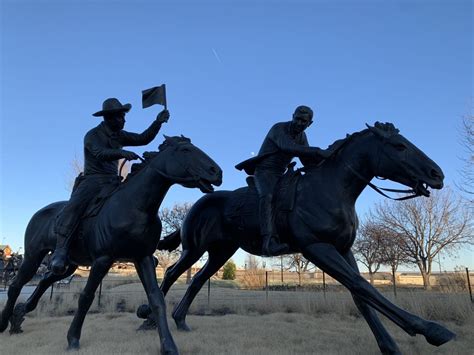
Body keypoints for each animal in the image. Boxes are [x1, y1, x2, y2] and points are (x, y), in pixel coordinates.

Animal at [0, 136, 222, 355]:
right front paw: (73, 339)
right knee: (15, 286)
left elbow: (157, 299)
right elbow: (86, 297)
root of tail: (39, 213)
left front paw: (168, 346)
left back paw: (18, 317)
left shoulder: (143, 258)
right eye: (185, 150)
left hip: (68, 265)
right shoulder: (103, 260)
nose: (217, 172)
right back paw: (5, 323)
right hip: (33, 257)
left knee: (45, 280)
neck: (134, 207)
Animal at [154, 124, 454, 354]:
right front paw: (432, 330)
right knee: (170, 273)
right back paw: (149, 321)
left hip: (220, 252)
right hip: (194, 249)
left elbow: (359, 294)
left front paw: (390, 346)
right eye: (399, 146)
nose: (436, 174)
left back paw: (180, 321)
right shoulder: (317, 248)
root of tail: (200, 202)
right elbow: (362, 286)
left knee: (196, 280)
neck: (331, 189)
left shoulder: (343, 249)